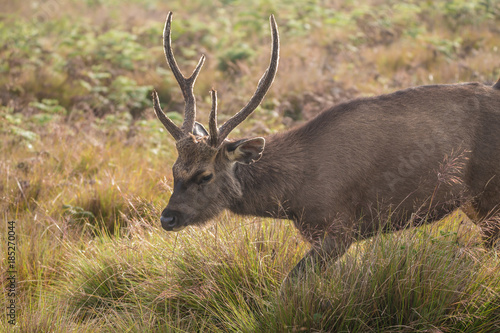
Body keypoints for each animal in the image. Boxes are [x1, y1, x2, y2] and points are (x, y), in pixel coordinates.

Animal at [152, 12, 500, 280]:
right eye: (174, 170)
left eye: (205, 175)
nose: (167, 218)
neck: (294, 195)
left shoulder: (339, 227)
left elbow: (292, 283)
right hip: (473, 201)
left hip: (490, 191)